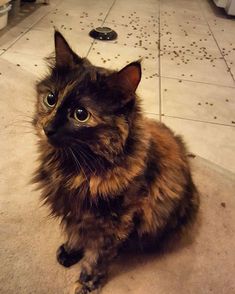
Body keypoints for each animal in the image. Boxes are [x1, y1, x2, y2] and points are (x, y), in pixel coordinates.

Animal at [32, 31, 199, 292]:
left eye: (81, 114)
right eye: (51, 99)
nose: (47, 128)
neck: (75, 170)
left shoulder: (113, 224)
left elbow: (96, 259)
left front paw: (86, 284)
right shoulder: (76, 212)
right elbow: (76, 235)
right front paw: (70, 252)